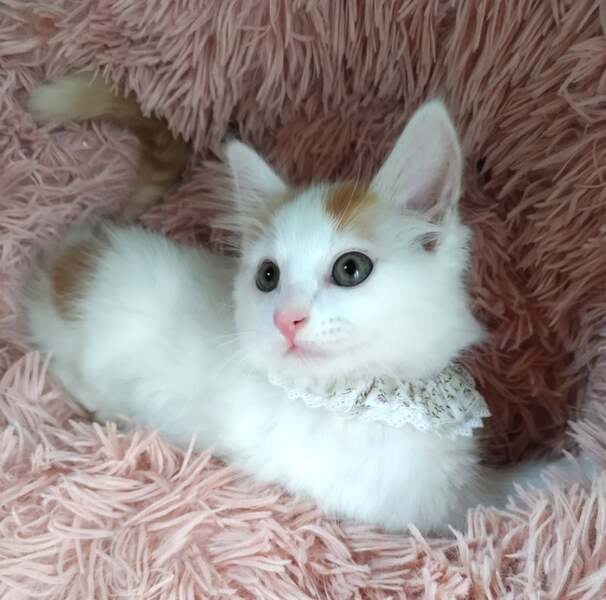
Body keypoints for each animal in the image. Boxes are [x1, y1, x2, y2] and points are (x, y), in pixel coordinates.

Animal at [23, 74, 593, 535]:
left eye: (350, 269)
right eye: (267, 277)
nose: (285, 318)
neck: (369, 397)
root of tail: (83, 247)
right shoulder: (419, 512)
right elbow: (505, 499)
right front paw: (581, 474)